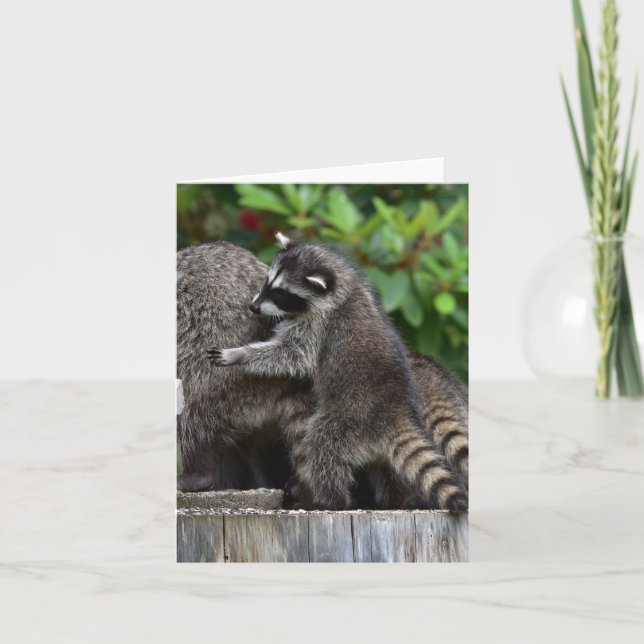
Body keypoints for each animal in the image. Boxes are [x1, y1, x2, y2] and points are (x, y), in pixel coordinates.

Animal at [207, 233, 468, 511]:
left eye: (282, 294)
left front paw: (241, 354)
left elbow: (292, 356)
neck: (345, 286)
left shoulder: (317, 326)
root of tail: (394, 414)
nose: (254, 307)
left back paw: (330, 499)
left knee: (323, 446)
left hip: (347, 420)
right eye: (268, 283)